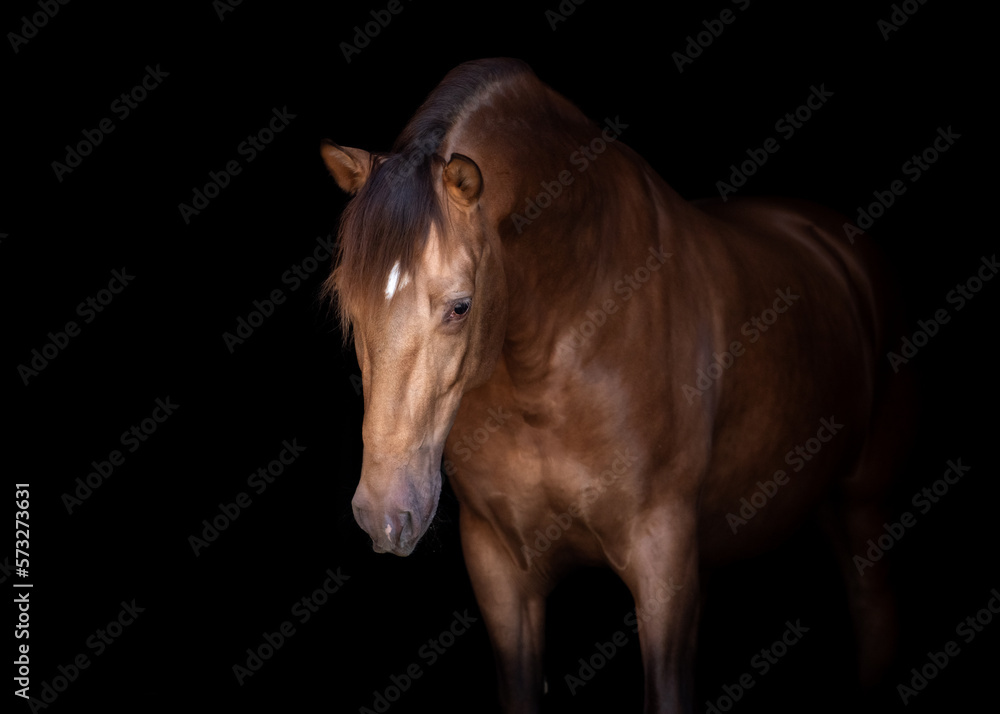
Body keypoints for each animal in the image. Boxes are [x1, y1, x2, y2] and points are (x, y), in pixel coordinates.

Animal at [320, 58, 913, 713]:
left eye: (460, 306)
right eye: (348, 307)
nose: (383, 513)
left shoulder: (663, 561)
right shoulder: (499, 567)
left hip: (864, 512)